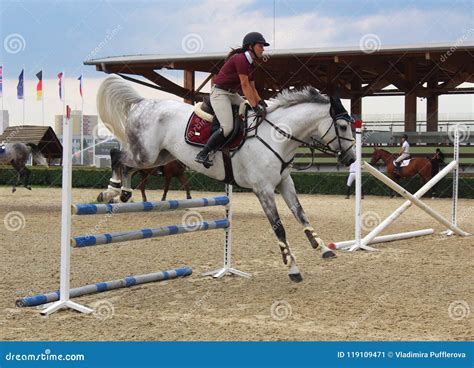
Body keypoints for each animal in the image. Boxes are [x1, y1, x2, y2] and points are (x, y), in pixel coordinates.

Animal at [97, 75, 356, 282]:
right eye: (343, 126)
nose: (352, 158)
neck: (278, 136)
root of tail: (143, 103)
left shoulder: (285, 183)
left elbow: (301, 214)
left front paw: (322, 248)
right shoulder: (263, 189)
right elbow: (279, 228)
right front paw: (293, 268)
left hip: (159, 156)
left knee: (128, 167)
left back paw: (123, 193)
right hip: (146, 154)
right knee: (117, 156)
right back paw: (110, 191)